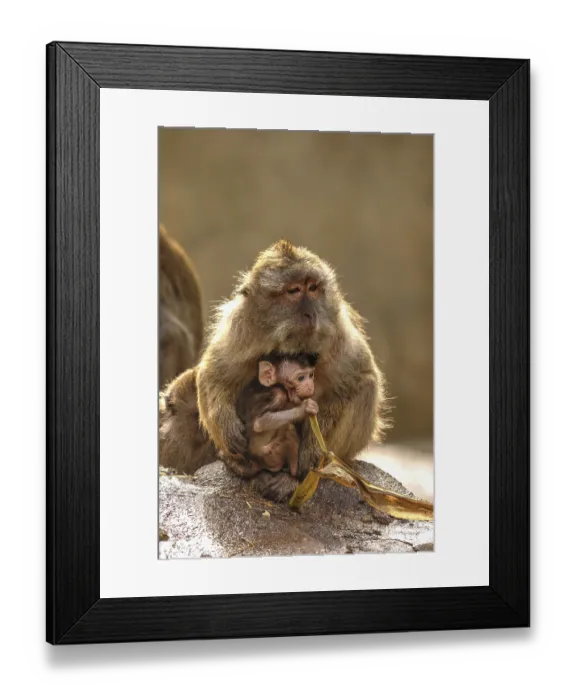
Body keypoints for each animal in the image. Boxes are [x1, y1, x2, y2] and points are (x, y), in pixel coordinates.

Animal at [195, 239, 388, 502]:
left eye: (313, 288)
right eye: (294, 291)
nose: (310, 313)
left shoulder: (337, 330)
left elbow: (358, 379)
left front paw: (313, 448)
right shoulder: (242, 326)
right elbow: (214, 374)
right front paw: (228, 428)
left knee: (365, 388)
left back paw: (294, 477)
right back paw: (243, 465)